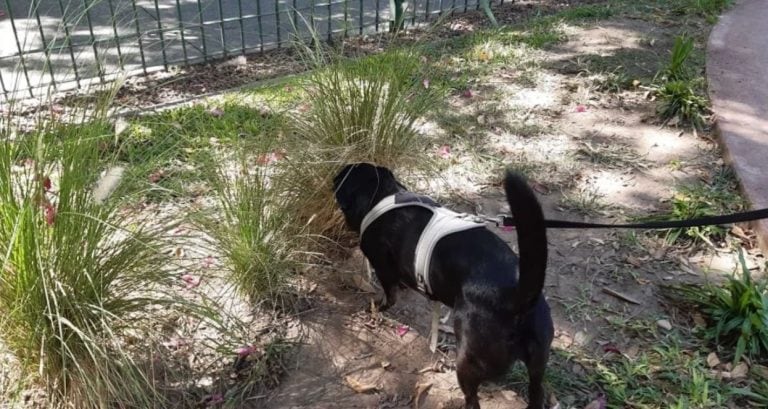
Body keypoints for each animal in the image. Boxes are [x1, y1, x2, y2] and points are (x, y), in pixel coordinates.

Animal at [332, 163, 556, 408]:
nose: (333, 177)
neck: (383, 196)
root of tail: (519, 297)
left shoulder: (383, 267)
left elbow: (388, 297)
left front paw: (373, 309)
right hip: (537, 368)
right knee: (536, 392)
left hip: (468, 361)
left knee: (473, 399)